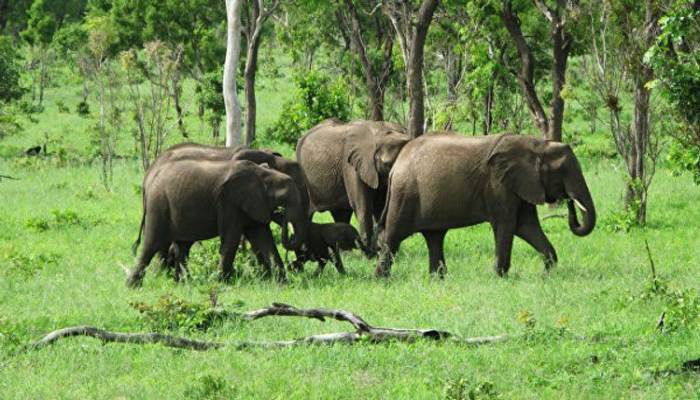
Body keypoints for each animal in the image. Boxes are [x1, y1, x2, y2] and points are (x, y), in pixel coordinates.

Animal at [296, 117, 410, 255]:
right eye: (388, 164)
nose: (376, 248)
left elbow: (380, 205)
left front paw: (383, 251)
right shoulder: (351, 165)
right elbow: (362, 204)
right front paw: (370, 255)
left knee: (341, 214)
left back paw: (345, 254)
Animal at [378, 131, 596, 278]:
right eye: (563, 171)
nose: (569, 201)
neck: (535, 144)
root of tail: (395, 166)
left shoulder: (521, 183)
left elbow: (527, 226)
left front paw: (548, 273)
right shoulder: (498, 184)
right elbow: (506, 225)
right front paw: (500, 277)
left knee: (434, 238)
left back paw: (438, 279)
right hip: (405, 193)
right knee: (393, 237)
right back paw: (383, 279)